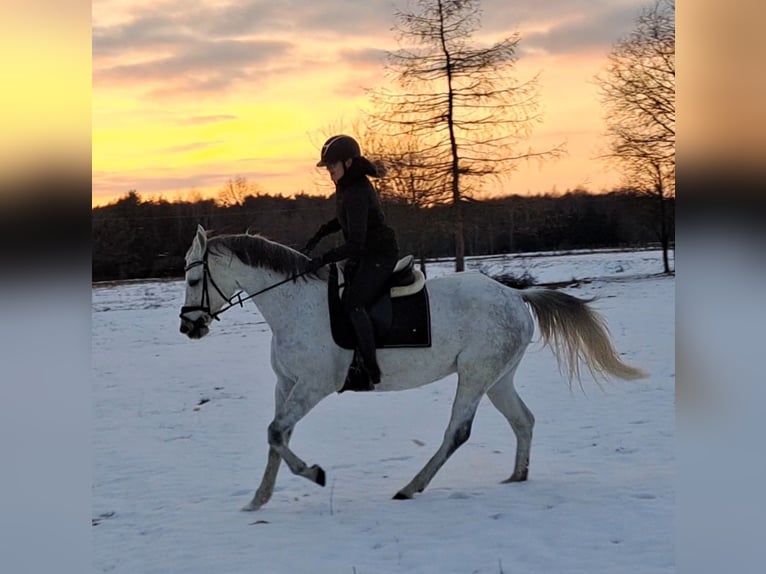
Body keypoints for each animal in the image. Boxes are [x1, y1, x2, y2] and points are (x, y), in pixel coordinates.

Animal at [179, 225, 646, 510]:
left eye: (192, 280)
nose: (188, 326)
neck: (295, 305)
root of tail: (516, 296)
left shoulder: (313, 385)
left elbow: (277, 433)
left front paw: (314, 474)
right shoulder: (287, 384)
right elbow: (277, 437)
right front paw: (258, 499)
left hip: (475, 376)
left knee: (458, 432)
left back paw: (410, 487)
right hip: (498, 378)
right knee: (523, 421)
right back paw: (516, 477)